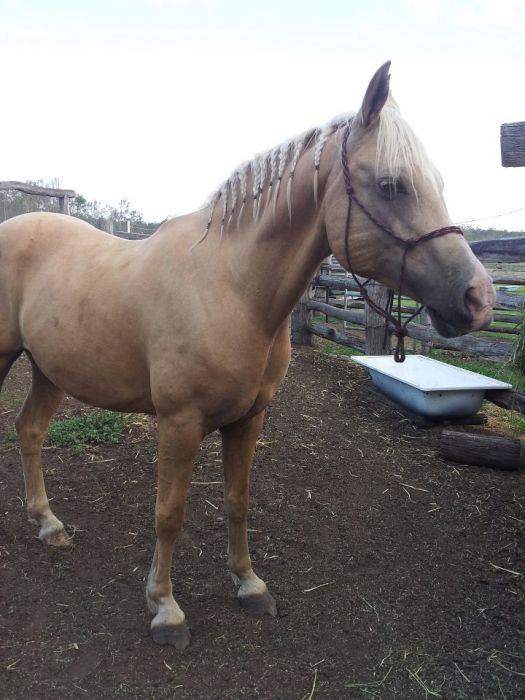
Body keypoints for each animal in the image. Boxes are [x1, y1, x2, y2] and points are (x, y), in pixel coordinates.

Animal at [0, 62, 494, 649]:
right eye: (391, 184)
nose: (478, 299)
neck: (231, 289)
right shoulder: (180, 422)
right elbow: (169, 513)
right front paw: (165, 608)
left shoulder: (249, 419)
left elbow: (238, 501)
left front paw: (249, 585)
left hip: (48, 370)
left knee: (30, 431)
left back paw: (48, 524)